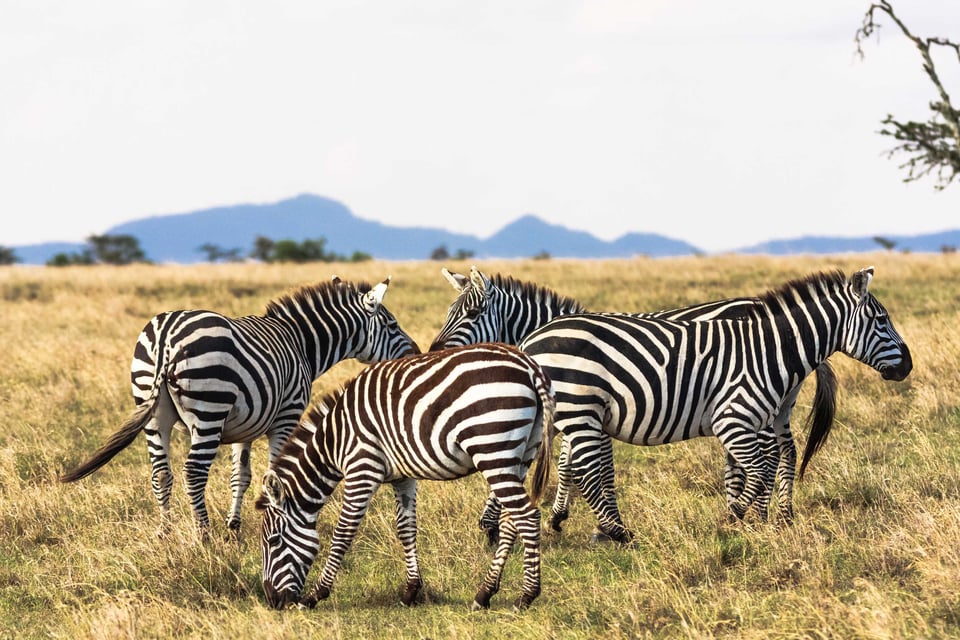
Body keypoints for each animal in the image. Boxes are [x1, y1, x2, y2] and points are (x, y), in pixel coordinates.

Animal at [59, 276, 420, 536]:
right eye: (392, 326)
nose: (416, 353)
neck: (301, 343)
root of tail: (165, 335)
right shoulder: (286, 416)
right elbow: (274, 471)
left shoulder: (244, 425)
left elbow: (240, 476)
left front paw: (234, 526)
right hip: (208, 409)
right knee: (193, 472)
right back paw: (202, 535)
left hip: (153, 410)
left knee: (161, 473)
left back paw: (165, 533)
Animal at [256, 342, 556, 611]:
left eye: (273, 541)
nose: (272, 602)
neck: (335, 439)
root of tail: (528, 366)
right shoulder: (403, 477)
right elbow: (406, 528)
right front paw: (411, 591)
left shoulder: (362, 468)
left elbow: (343, 533)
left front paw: (316, 595)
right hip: (522, 454)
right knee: (510, 520)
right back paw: (484, 594)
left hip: (493, 450)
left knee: (528, 516)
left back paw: (525, 597)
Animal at [428, 266, 837, 542]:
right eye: (448, 313)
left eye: (472, 314)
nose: (433, 352)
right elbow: (574, 464)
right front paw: (569, 517)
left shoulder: (583, 409)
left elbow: (578, 466)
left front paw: (550, 519)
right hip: (778, 402)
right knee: (786, 450)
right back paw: (778, 513)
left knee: (770, 452)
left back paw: (759, 513)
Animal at [515, 267, 911, 543]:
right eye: (881, 320)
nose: (908, 365)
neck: (769, 349)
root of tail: (533, 339)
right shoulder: (732, 420)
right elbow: (759, 471)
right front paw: (735, 514)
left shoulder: (742, 422)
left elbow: (757, 469)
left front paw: (740, 515)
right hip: (579, 409)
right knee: (584, 470)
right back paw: (618, 532)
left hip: (579, 412)